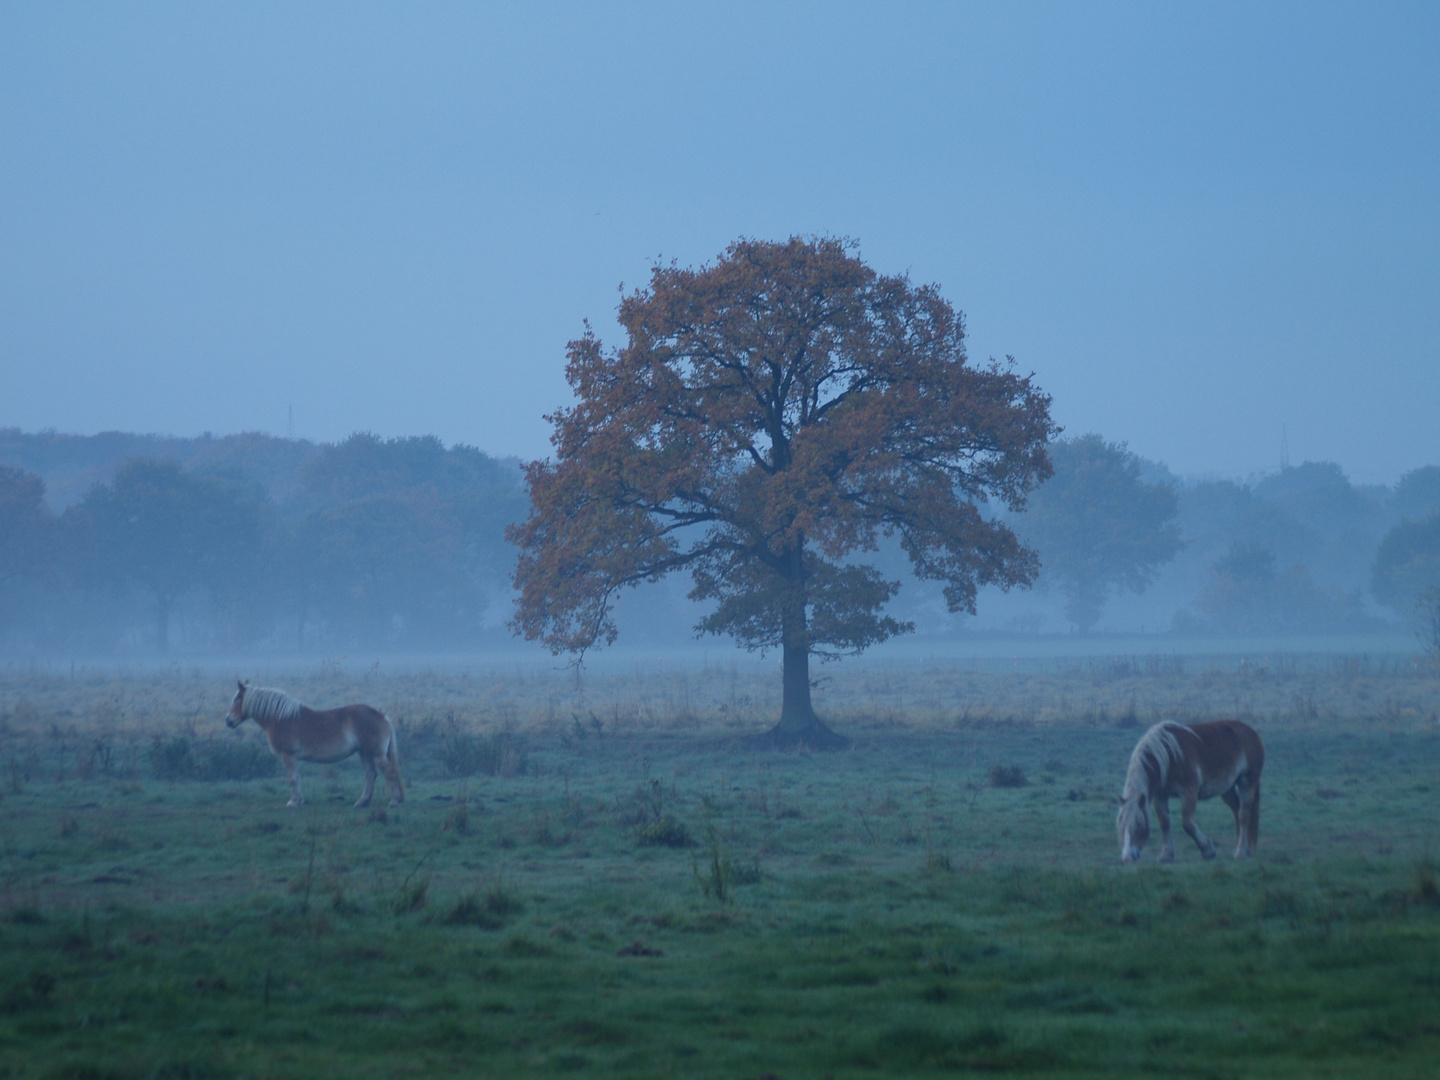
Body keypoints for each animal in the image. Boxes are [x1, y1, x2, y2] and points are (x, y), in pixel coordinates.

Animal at [224, 679, 406, 806]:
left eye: (237, 699)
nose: (228, 721)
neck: (281, 719)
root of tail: (381, 716)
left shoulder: (288, 755)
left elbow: (293, 779)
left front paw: (293, 802)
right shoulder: (292, 758)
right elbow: (297, 778)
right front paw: (299, 800)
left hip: (376, 754)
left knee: (390, 772)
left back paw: (395, 800)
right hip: (364, 753)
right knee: (371, 775)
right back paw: (362, 802)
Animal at [1111, 722, 1261, 869]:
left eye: (1139, 825)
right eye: (1121, 825)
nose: (1128, 857)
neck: (1168, 757)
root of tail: (1252, 732)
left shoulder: (1189, 793)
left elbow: (1188, 824)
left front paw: (1208, 850)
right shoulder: (1159, 796)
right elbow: (1164, 824)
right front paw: (1166, 855)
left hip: (1247, 782)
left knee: (1243, 816)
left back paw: (1240, 852)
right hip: (1227, 789)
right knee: (1236, 810)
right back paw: (1242, 848)